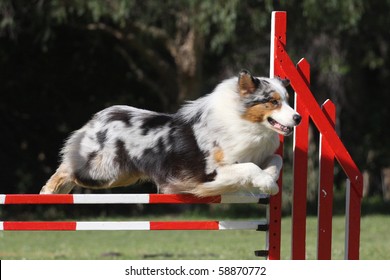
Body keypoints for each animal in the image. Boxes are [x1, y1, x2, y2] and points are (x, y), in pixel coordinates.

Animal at [39, 69, 302, 197]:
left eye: (287, 100)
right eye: (273, 102)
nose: (298, 118)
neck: (244, 121)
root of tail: (99, 116)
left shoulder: (258, 153)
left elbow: (274, 160)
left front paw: (268, 179)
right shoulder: (211, 172)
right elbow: (249, 168)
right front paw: (268, 184)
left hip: (122, 175)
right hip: (104, 171)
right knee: (68, 169)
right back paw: (48, 191)